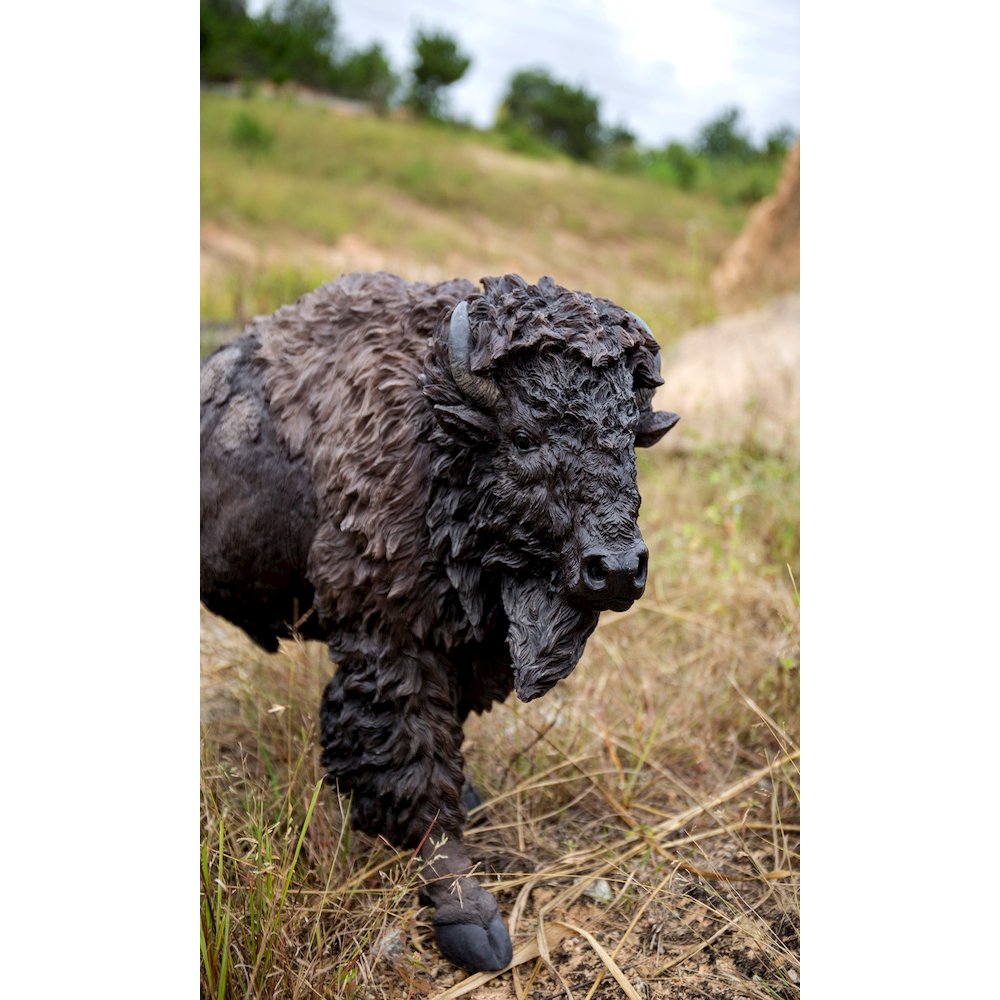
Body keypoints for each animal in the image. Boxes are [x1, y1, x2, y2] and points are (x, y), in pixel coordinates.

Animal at [200, 271, 679, 972]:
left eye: (627, 439)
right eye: (524, 438)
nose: (615, 568)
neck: (438, 431)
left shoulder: (465, 649)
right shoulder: (392, 643)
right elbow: (413, 769)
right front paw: (472, 923)